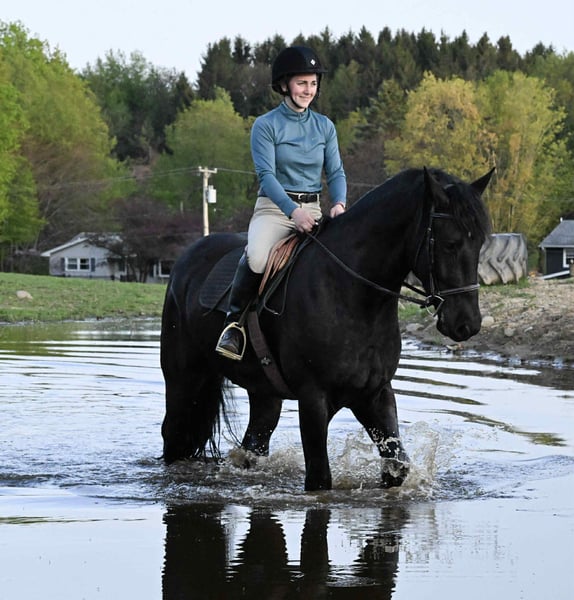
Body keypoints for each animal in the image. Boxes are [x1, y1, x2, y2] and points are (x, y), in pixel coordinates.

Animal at [160, 167, 494, 491]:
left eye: (479, 243)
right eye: (450, 244)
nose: (467, 323)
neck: (351, 294)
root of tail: (186, 259)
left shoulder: (375, 395)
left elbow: (397, 466)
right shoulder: (313, 400)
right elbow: (320, 480)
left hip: (264, 394)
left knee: (253, 444)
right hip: (184, 381)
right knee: (174, 436)